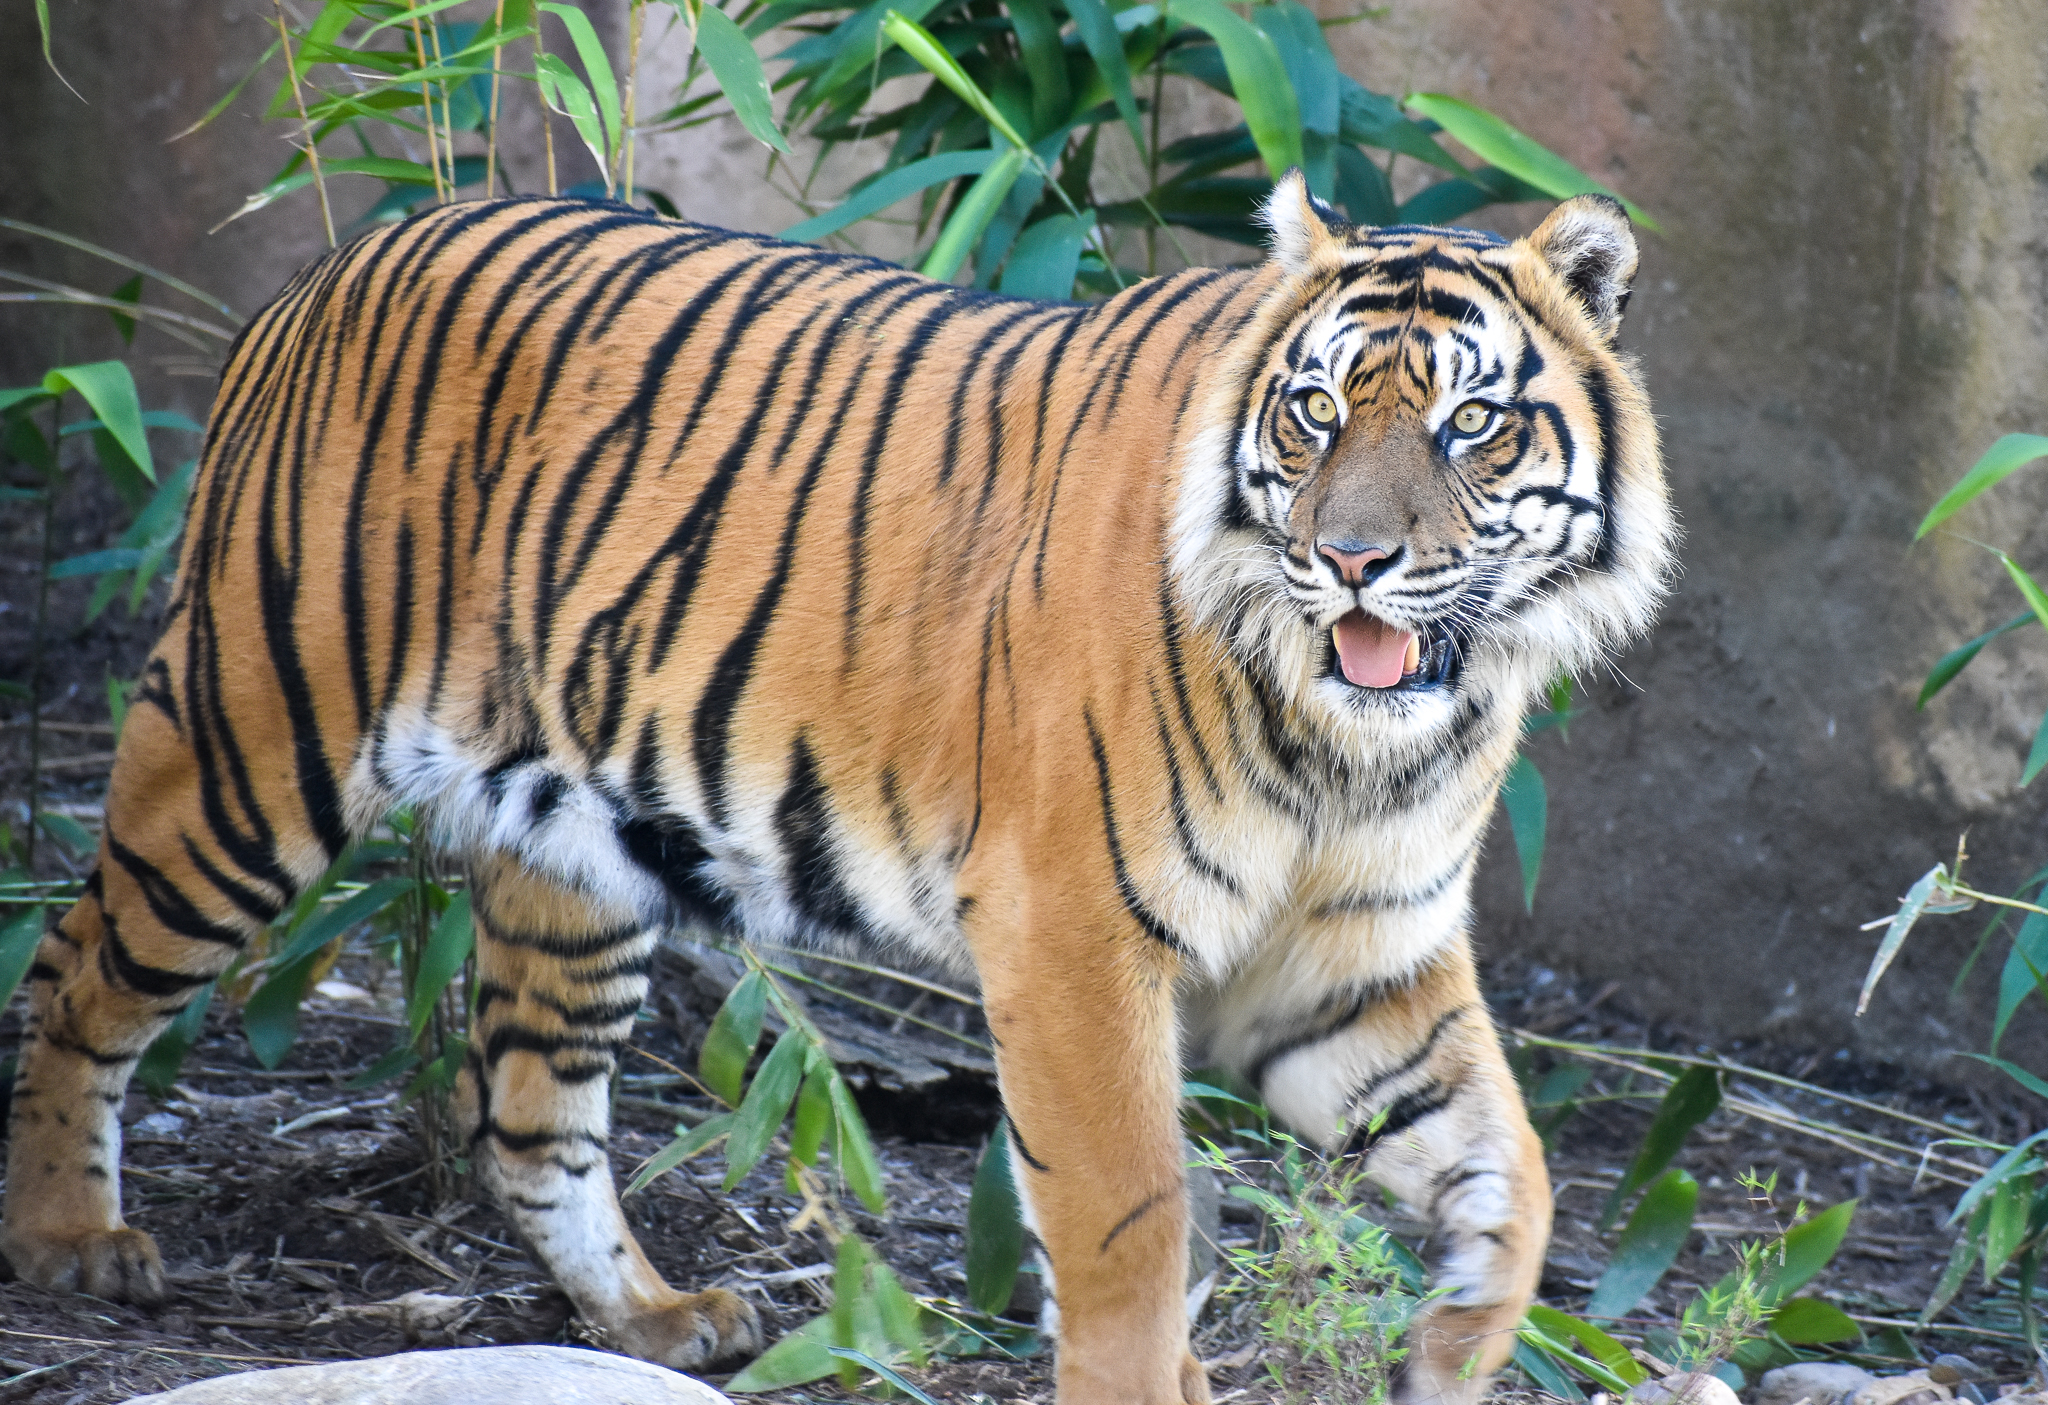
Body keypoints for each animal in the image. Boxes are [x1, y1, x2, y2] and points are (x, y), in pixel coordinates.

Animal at [1, 174, 1673, 1405]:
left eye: (1470, 422)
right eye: (1315, 411)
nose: (1352, 559)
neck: (1361, 745)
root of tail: (341, 258)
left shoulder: (1351, 961)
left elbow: (1515, 1174)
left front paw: (1454, 1345)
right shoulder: (1073, 934)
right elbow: (1128, 1220)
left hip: (581, 849)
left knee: (534, 1110)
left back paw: (658, 1318)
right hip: (246, 752)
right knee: (75, 970)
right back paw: (69, 1237)